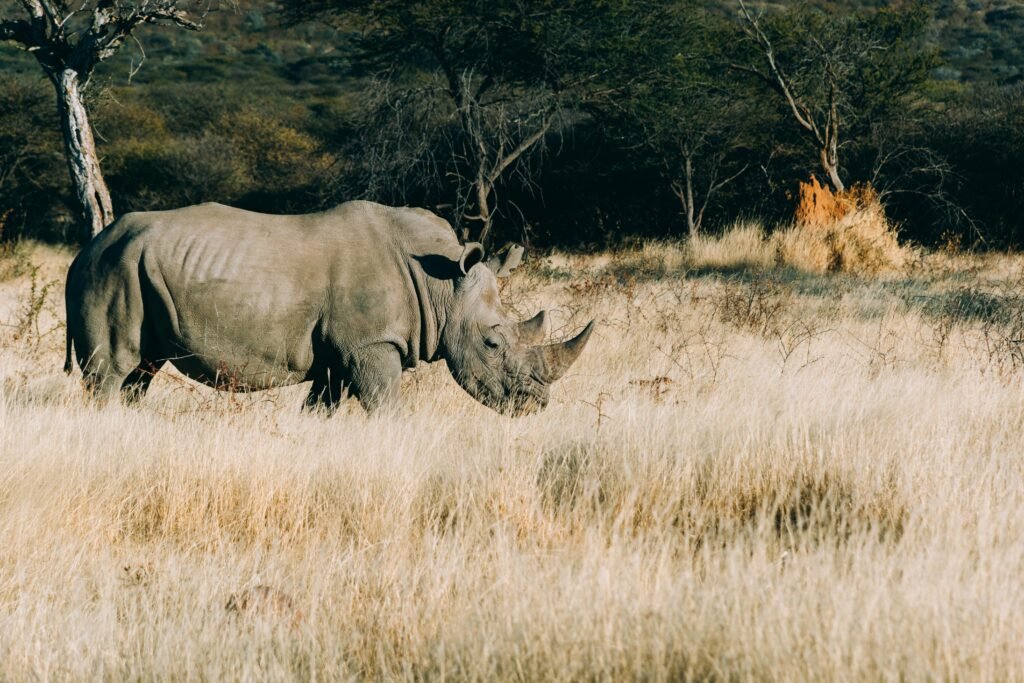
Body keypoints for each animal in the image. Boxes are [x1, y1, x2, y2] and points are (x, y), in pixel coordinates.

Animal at [63, 200, 594, 415]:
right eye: (492, 343)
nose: (536, 406)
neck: (440, 283)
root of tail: (87, 248)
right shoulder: (372, 344)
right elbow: (386, 406)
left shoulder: (341, 356)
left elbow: (321, 408)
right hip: (113, 269)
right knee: (111, 372)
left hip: (131, 268)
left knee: (141, 374)